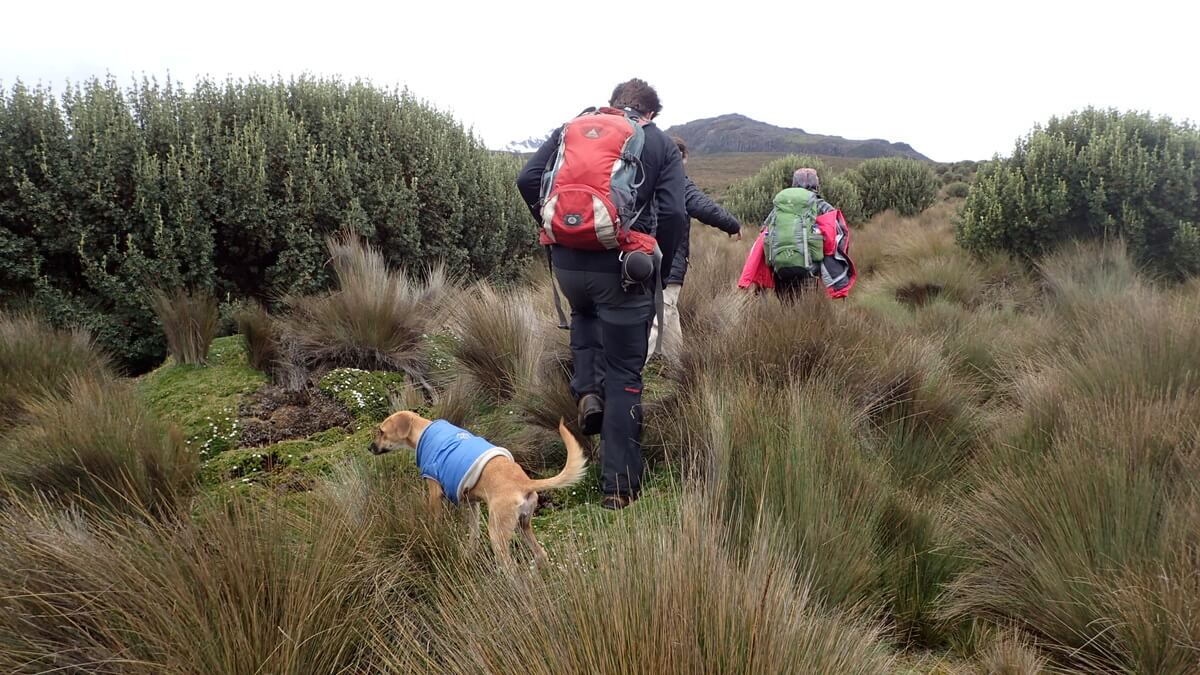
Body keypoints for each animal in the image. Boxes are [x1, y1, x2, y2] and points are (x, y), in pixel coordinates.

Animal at [367, 408, 588, 564]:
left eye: (381, 432)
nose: (369, 448)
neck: (423, 431)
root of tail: (524, 482)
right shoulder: (470, 503)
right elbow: (473, 532)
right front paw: (468, 554)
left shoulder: (434, 493)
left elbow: (435, 520)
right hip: (523, 526)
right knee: (541, 554)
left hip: (497, 533)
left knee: (511, 569)